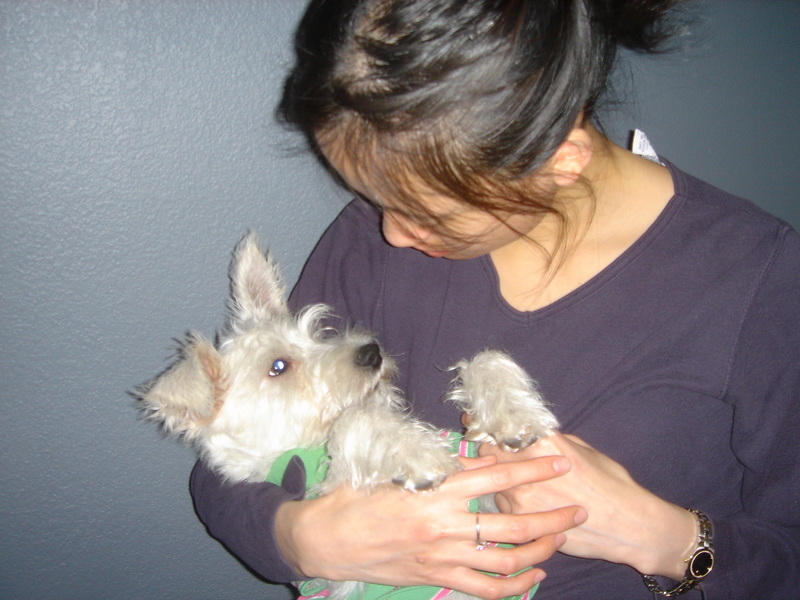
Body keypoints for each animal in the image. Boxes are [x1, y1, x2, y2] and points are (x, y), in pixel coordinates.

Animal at [138, 232, 559, 600]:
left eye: (315, 334)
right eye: (278, 366)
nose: (371, 353)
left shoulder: (495, 508)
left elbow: (486, 359)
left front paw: (514, 415)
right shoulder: (335, 503)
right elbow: (355, 420)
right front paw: (421, 456)